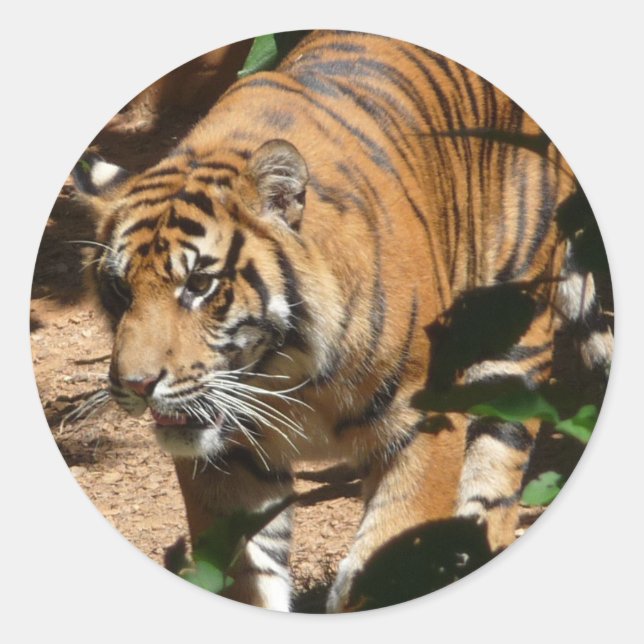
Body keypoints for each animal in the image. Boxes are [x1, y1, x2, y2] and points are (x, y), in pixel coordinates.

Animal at [71, 30, 612, 612]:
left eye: (199, 285)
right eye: (120, 290)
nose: (136, 385)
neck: (287, 373)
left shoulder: (424, 425)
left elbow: (387, 565)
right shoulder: (228, 459)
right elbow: (248, 577)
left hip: (510, 339)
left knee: (494, 484)